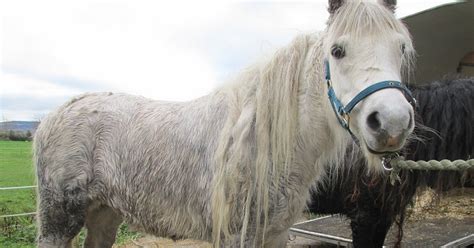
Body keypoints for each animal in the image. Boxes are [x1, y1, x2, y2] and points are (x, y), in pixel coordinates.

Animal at [35, 0, 414, 247]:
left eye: (400, 48)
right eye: (337, 51)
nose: (391, 123)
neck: (266, 142)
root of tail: (55, 114)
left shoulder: (276, 234)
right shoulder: (238, 236)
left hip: (104, 214)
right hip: (58, 221)